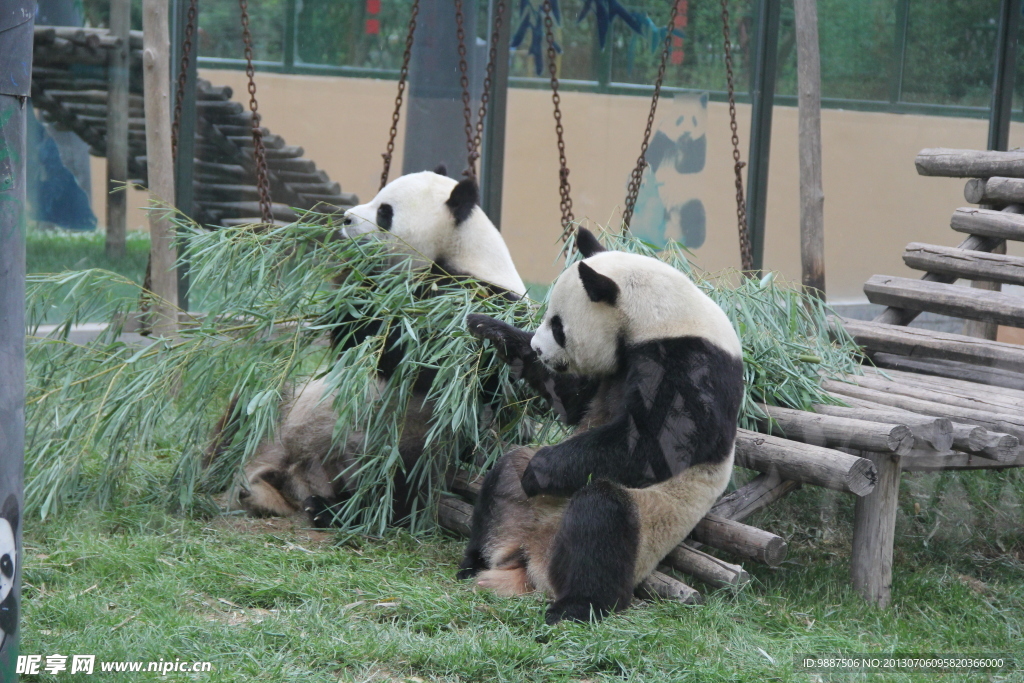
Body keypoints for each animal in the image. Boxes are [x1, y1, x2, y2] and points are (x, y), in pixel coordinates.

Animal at [210, 167, 524, 528]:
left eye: (384, 212)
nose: (346, 219)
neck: (463, 251)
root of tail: (297, 472)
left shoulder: (479, 301)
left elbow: (421, 360)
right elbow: (350, 337)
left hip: (414, 443)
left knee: (397, 484)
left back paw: (330, 509)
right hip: (287, 398)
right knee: (244, 412)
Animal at [458, 228, 745, 626]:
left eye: (558, 326)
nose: (538, 348)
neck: (659, 318)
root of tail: (532, 559)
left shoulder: (694, 365)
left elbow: (655, 444)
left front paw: (541, 470)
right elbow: (573, 399)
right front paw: (488, 327)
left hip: (649, 523)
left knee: (601, 517)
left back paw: (578, 605)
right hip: (524, 513)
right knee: (504, 475)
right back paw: (474, 562)